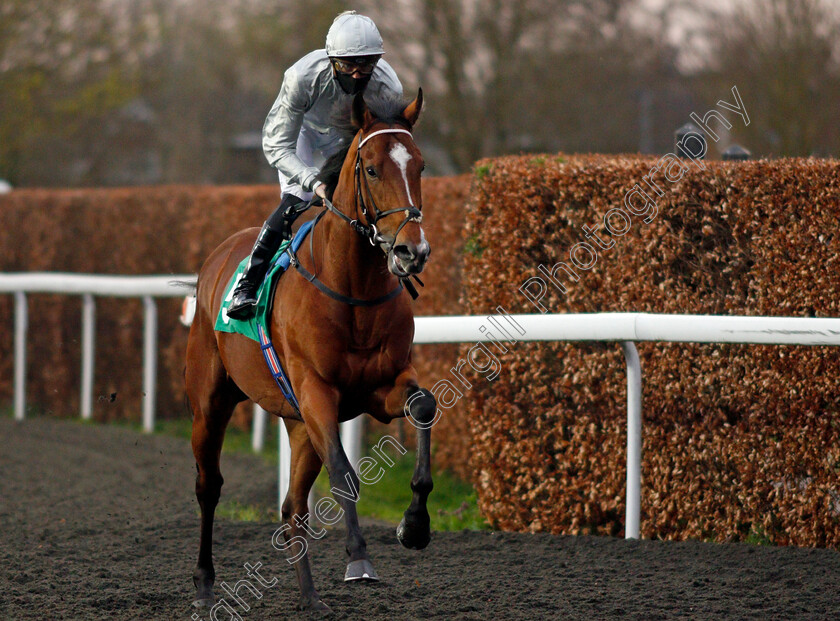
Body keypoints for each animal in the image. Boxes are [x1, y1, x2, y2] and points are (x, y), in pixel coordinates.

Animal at [183, 89, 434, 612]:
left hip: (298, 425)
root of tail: (216, 257)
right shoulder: (318, 391)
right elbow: (344, 473)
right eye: (372, 169)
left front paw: (415, 525)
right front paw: (359, 558)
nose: (411, 251)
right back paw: (204, 583)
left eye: (420, 165)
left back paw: (310, 597)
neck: (352, 289)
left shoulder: (381, 387)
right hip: (210, 404)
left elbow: (423, 405)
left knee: (292, 506)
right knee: (209, 487)